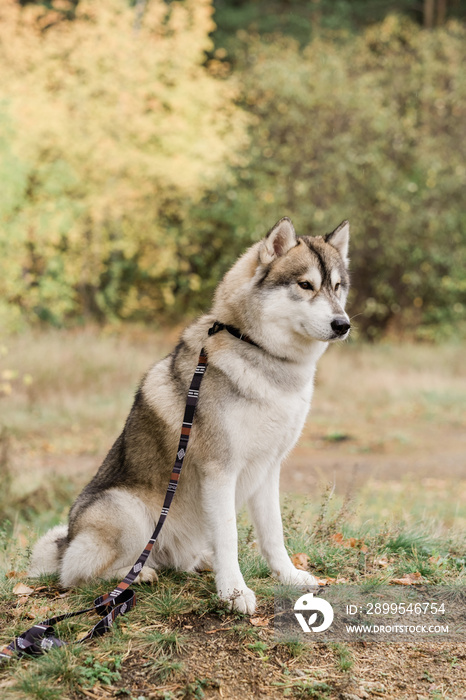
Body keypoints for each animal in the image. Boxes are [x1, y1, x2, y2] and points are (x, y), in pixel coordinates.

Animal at [29, 217, 350, 612]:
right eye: (306, 285)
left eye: (337, 287)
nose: (343, 324)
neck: (260, 353)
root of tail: (67, 541)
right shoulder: (220, 471)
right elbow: (228, 536)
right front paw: (234, 592)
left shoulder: (268, 468)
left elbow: (273, 533)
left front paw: (287, 576)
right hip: (126, 511)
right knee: (77, 574)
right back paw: (137, 575)